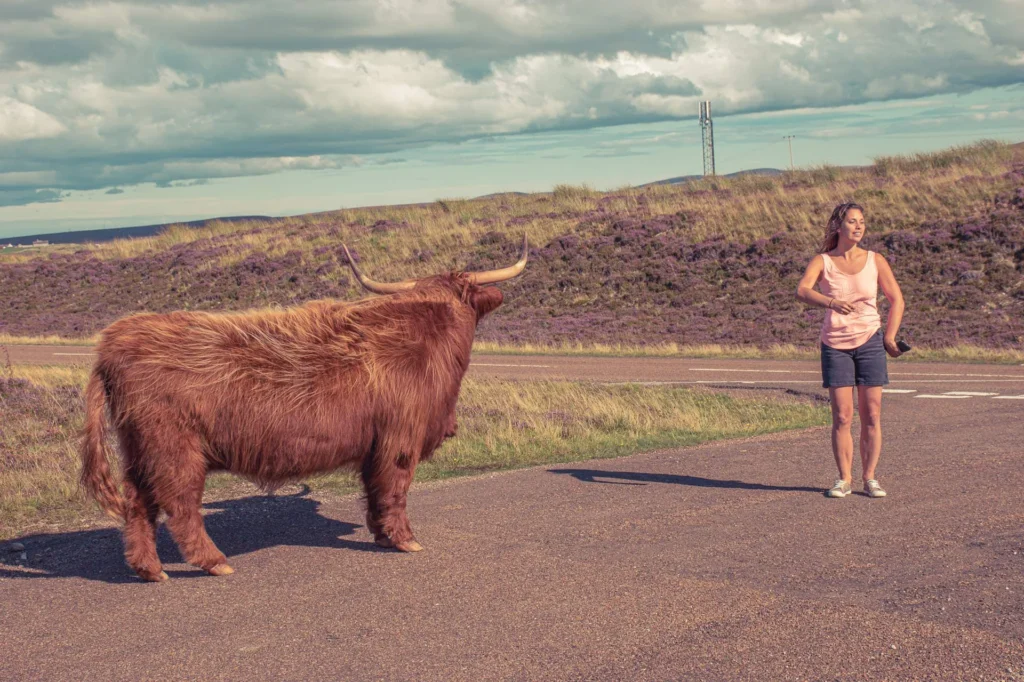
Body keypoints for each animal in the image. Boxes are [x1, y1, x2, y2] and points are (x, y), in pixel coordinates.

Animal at [80, 237, 528, 581]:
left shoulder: (375, 446)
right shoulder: (401, 440)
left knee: (139, 504)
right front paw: (405, 539)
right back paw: (214, 562)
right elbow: (395, 490)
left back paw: (150, 570)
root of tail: (113, 342)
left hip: (140, 449)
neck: (428, 335)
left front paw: (382, 536)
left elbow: (374, 490)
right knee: (180, 505)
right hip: (175, 449)